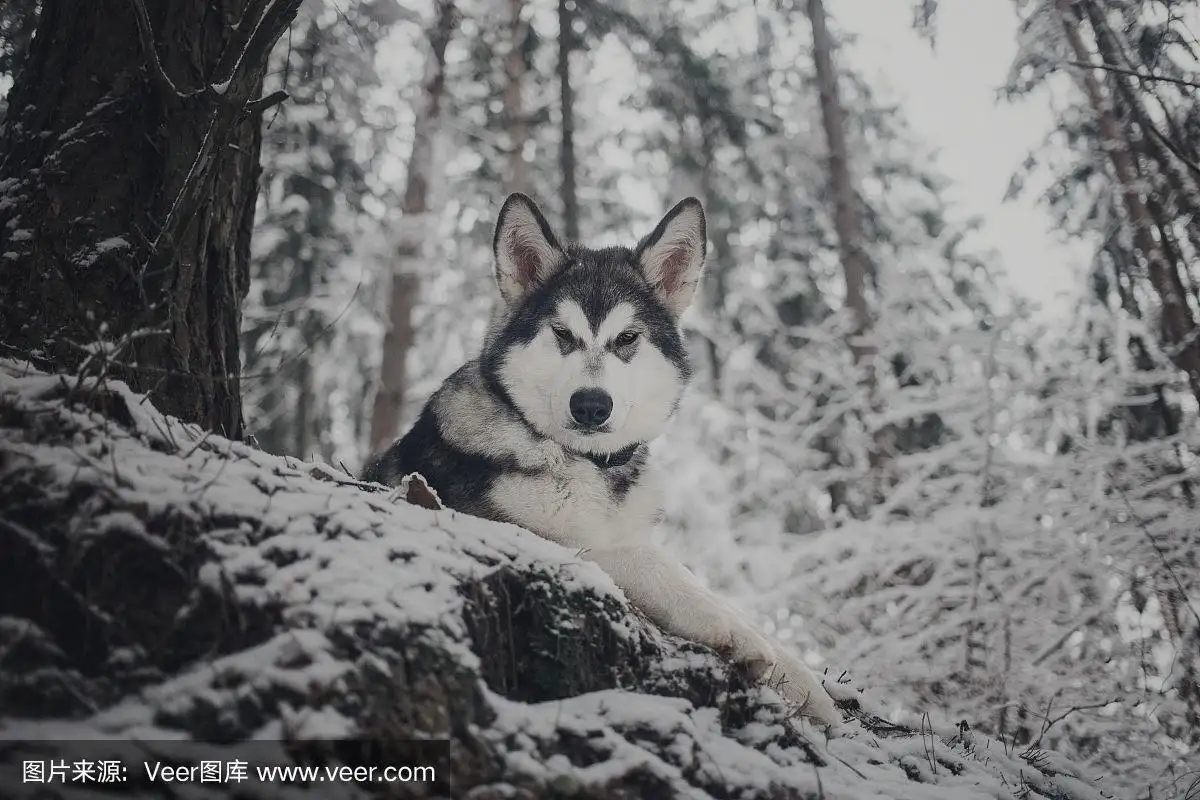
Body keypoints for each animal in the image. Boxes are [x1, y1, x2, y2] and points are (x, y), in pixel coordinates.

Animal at [360, 191, 840, 724]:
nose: (590, 405)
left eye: (627, 338)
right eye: (562, 334)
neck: (587, 465)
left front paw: (810, 688)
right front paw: (733, 633)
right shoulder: (515, 529)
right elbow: (649, 563)